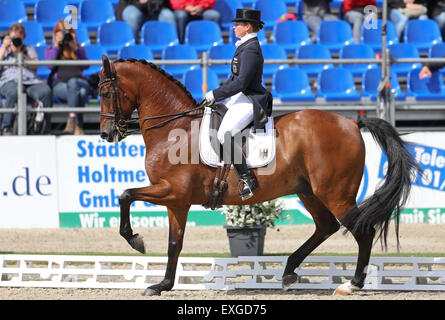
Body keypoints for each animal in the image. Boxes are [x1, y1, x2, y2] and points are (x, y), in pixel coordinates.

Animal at [98, 55, 420, 298]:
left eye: (105, 93)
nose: (106, 134)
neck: (174, 128)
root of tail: (352, 123)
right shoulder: (177, 201)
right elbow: (174, 243)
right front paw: (162, 285)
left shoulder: (172, 191)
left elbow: (125, 195)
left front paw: (135, 240)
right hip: (308, 191)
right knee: (326, 227)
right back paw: (289, 272)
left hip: (335, 193)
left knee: (362, 232)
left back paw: (351, 285)